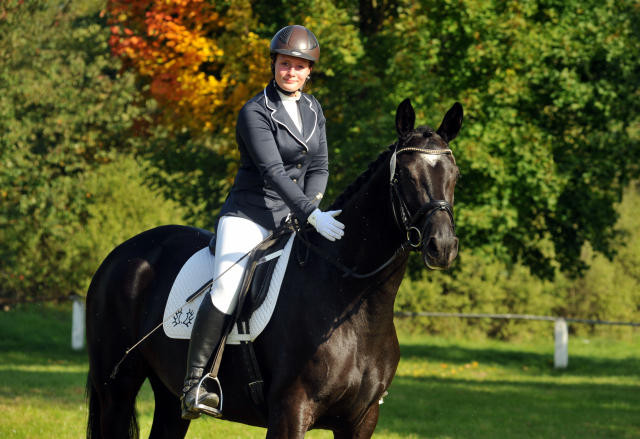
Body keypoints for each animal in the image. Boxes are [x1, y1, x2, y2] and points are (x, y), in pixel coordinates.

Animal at [87, 99, 462, 439]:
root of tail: (121, 254)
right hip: (117, 389)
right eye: (406, 175)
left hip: (168, 395)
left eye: (455, 176)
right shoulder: (291, 411)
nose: (441, 246)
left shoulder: (361, 421)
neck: (354, 304)